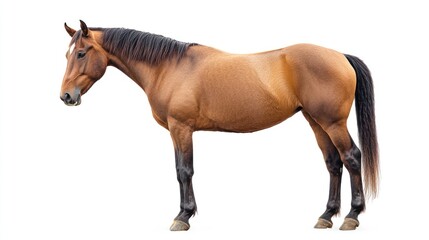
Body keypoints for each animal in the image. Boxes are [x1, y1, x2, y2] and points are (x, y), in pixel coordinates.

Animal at [59, 20, 378, 231]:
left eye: (81, 53)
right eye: (67, 54)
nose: (66, 96)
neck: (169, 66)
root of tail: (340, 56)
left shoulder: (181, 128)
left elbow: (184, 171)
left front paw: (183, 217)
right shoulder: (177, 131)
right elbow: (180, 171)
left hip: (332, 123)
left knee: (351, 158)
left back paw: (352, 216)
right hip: (316, 122)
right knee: (333, 163)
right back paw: (326, 215)